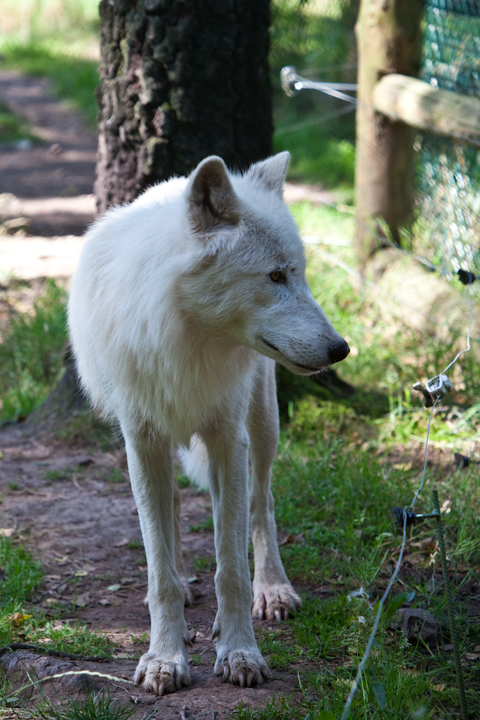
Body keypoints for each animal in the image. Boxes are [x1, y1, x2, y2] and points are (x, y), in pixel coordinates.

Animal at [68, 152, 349, 695]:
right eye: (275, 277)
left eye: (300, 275)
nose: (341, 349)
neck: (185, 339)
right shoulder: (142, 442)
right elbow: (159, 571)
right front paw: (164, 656)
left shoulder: (226, 440)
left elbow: (231, 567)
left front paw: (240, 652)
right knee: (176, 511)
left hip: (260, 427)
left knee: (259, 506)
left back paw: (272, 590)